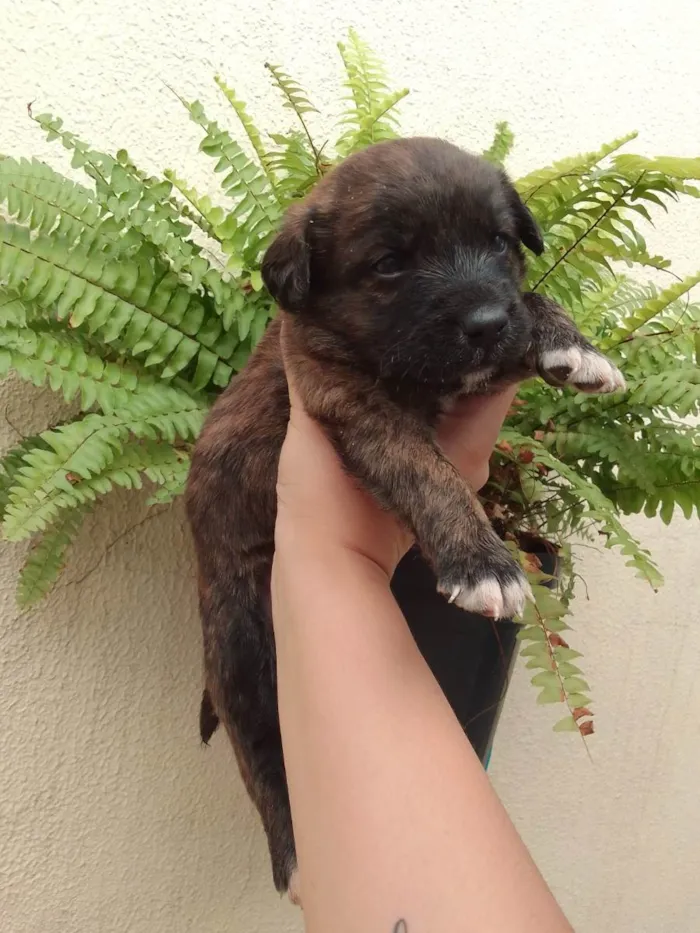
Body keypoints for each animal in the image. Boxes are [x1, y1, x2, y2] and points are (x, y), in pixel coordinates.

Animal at [185, 138, 624, 904]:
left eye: (499, 242)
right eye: (391, 264)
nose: (484, 324)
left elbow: (528, 300)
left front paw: (569, 342)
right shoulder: (350, 399)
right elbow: (430, 473)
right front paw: (483, 561)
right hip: (238, 642)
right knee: (257, 751)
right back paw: (292, 856)